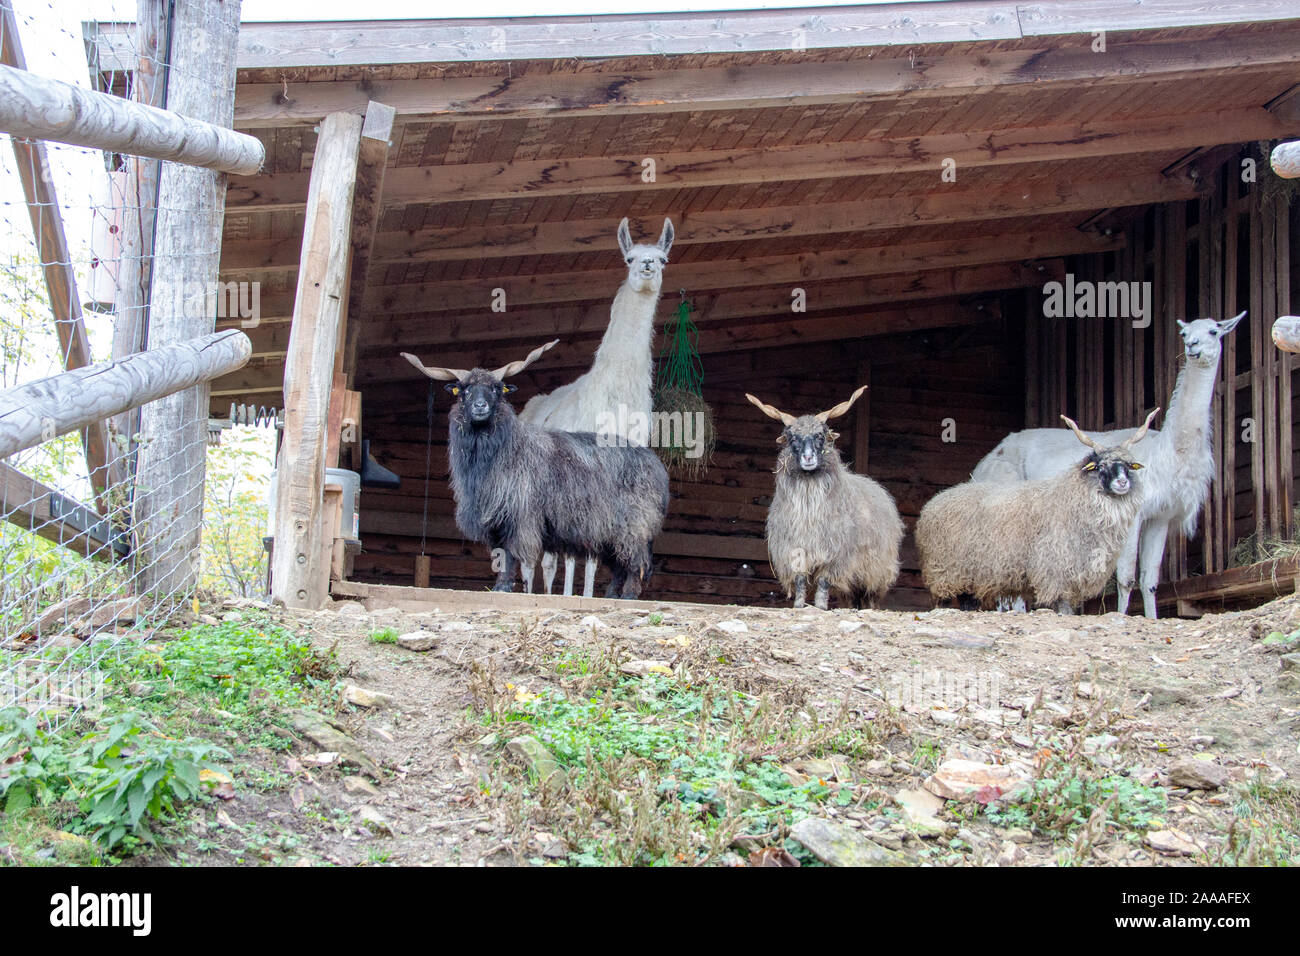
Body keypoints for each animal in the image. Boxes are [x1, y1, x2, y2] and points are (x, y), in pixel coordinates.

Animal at [401, 340, 669, 599]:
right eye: (464, 390)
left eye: (496, 389)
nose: (480, 406)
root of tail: (658, 468)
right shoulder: (495, 520)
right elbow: (501, 553)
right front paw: (500, 587)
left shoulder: (519, 514)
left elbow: (510, 553)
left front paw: (504, 587)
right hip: (611, 531)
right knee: (619, 564)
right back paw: (612, 595)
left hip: (635, 524)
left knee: (636, 563)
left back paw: (628, 595)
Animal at [746, 387, 902, 610]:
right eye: (792, 438)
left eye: (820, 435)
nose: (808, 457)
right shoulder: (796, 549)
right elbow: (800, 580)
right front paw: (799, 605)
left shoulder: (835, 554)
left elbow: (824, 581)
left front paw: (820, 606)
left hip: (877, 569)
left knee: (869, 595)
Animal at [916, 409, 1159, 612]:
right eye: (1100, 466)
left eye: (1129, 466)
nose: (1122, 483)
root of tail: (936, 501)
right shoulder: (1053, 568)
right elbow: (1059, 604)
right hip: (946, 572)